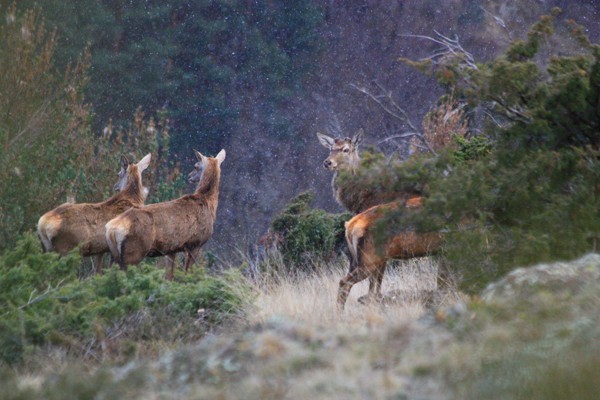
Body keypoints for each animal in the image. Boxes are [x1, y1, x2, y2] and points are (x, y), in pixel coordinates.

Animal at [103, 148, 225, 280]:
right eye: (195, 165)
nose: (189, 176)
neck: (207, 202)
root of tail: (112, 228)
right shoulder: (195, 244)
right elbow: (186, 275)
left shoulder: (172, 249)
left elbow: (169, 276)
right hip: (133, 252)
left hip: (114, 254)